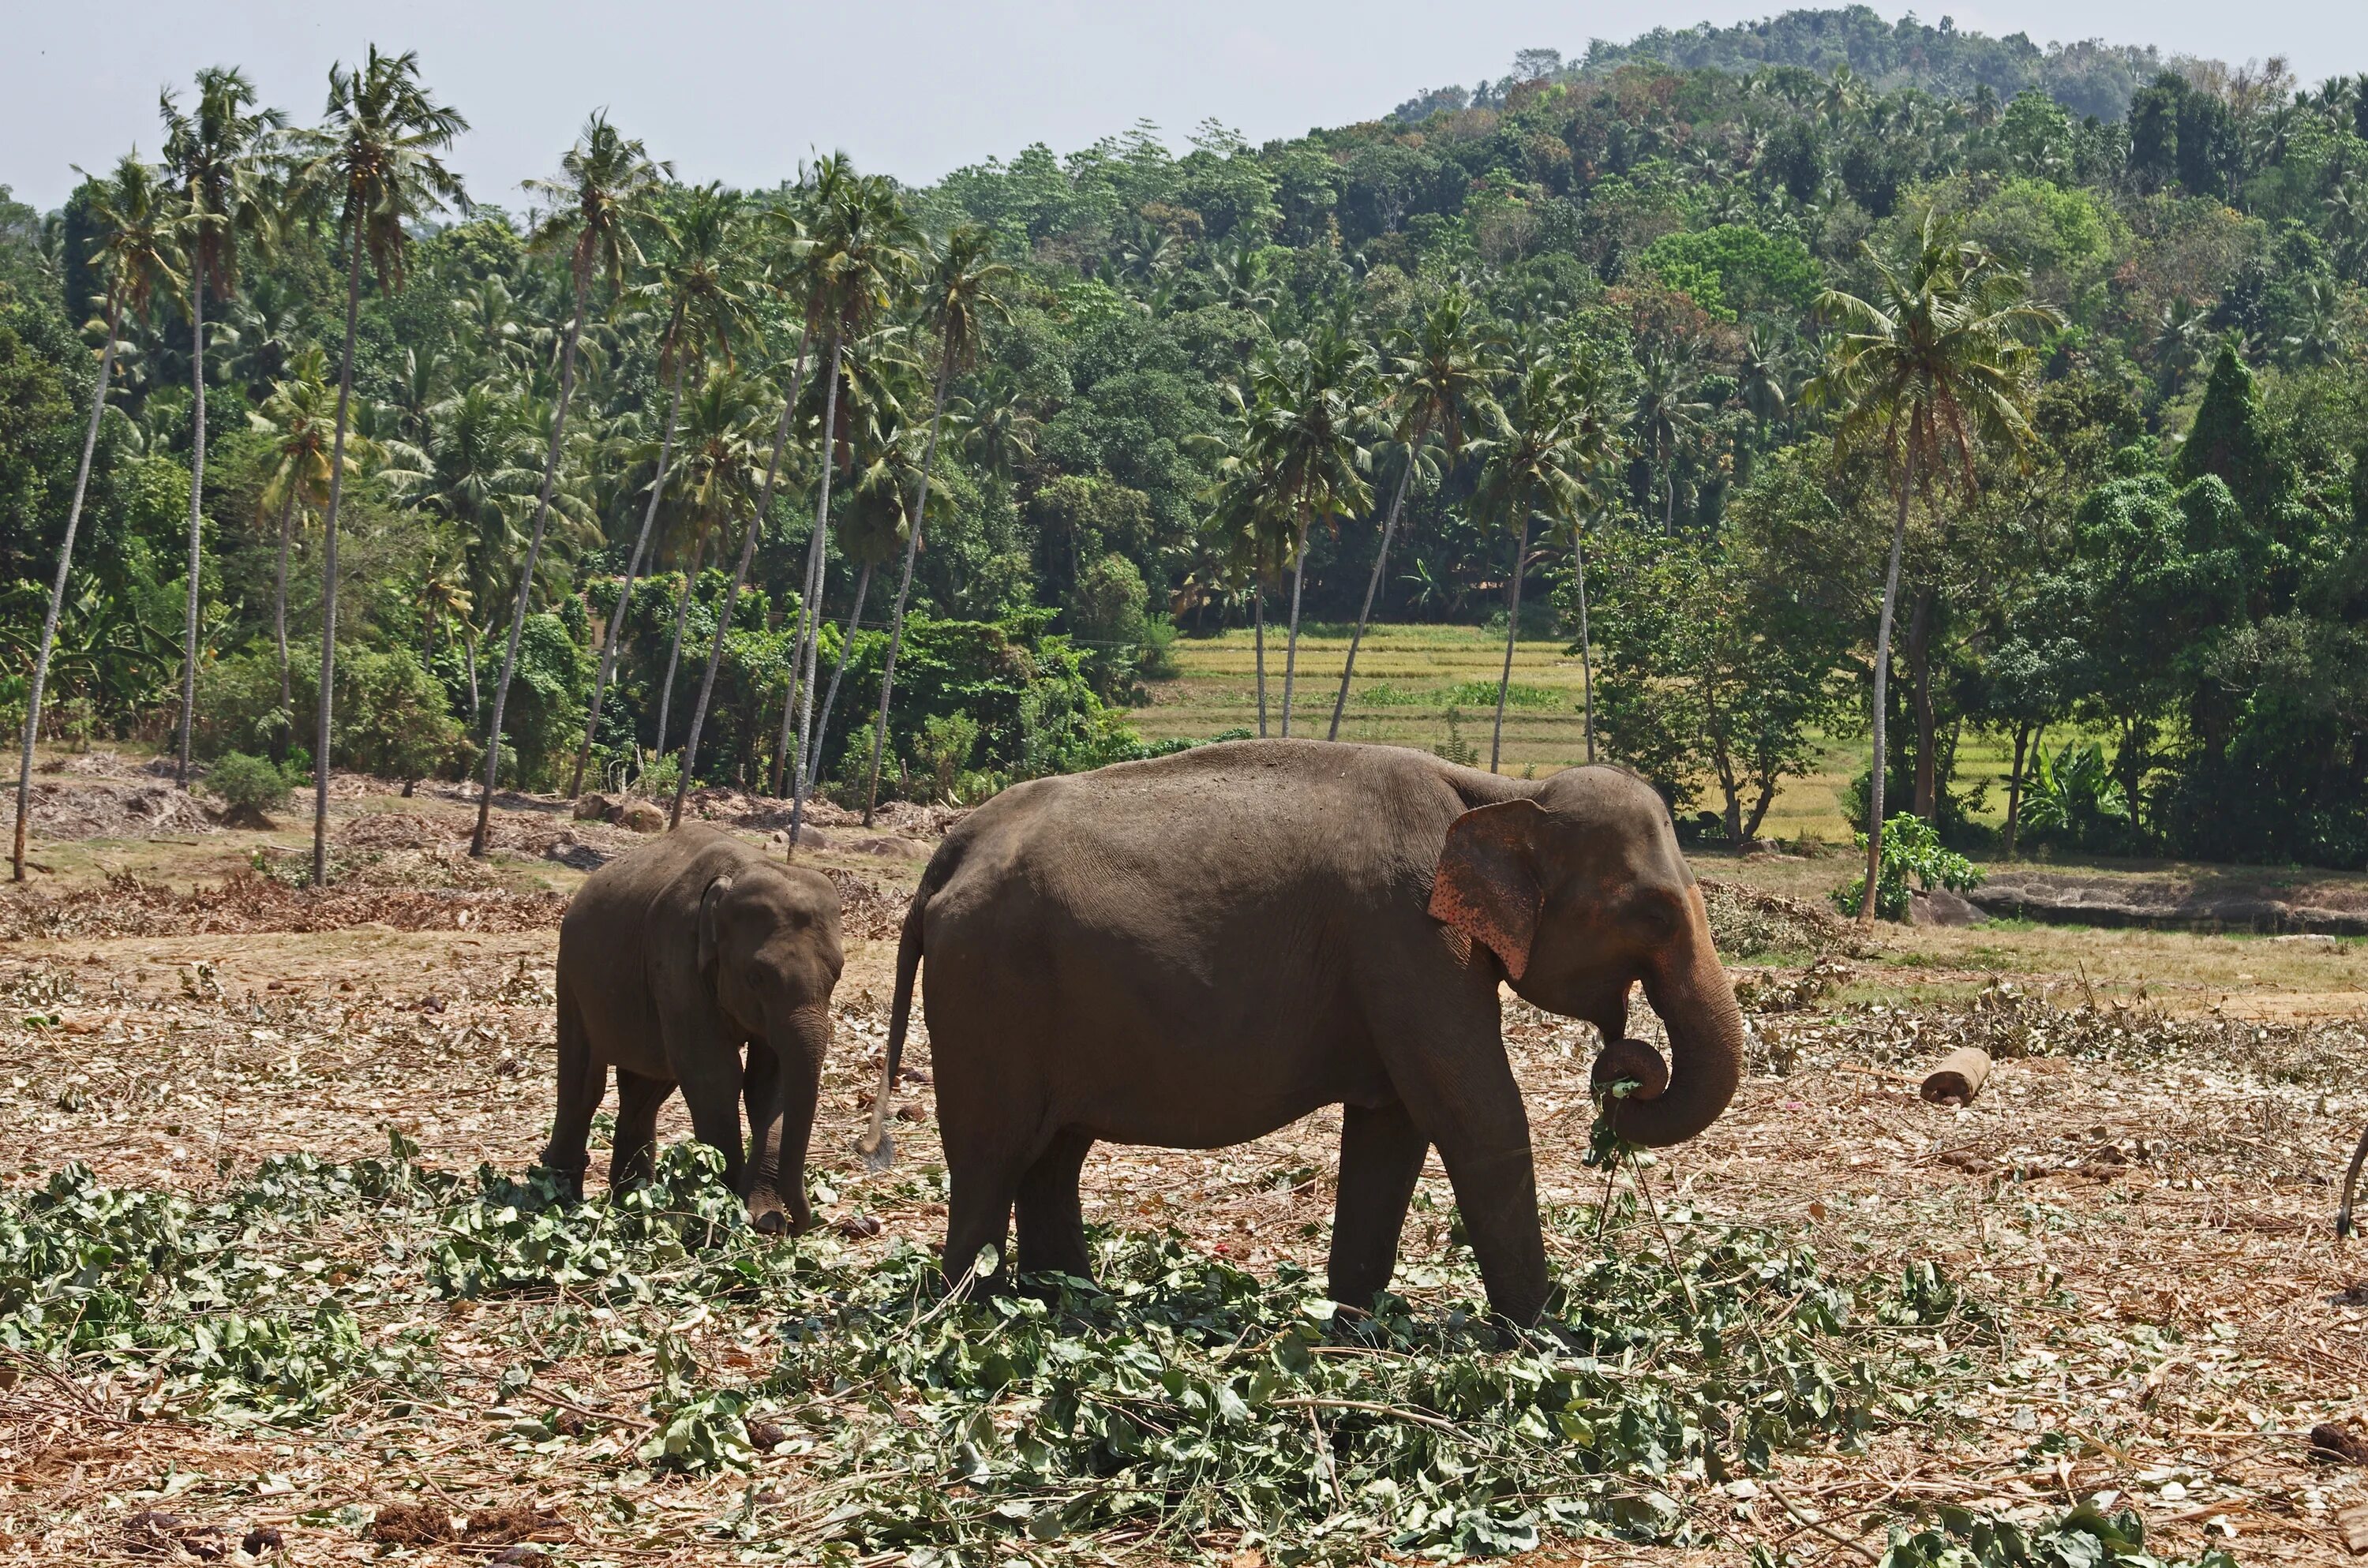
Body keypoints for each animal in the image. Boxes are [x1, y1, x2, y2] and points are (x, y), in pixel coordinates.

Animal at [542, 829, 843, 1231]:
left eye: (837, 973)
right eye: (757, 976)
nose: (799, 1224)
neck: (740, 873)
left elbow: (768, 1082)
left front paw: (762, 1219)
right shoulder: (675, 959)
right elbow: (715, 1075)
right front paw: (727, 1214)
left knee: (644, 1090)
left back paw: (632, 1200)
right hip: (572, 978)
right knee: (584, 1084)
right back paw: (559, 1196)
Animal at [862, 743, 1752, 1335]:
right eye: (1652, 914)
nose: (1618, 1078)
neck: (1503, 792)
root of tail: (948, 852)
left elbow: (1392, 1129)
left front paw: (1353, 1325)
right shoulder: (1409, 938)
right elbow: (1477, 1115)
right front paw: (1549, 1339)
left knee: (1052, 1154)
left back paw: (1076, 1309)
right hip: (989, 990)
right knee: (990, 1151)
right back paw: (972, 1319)